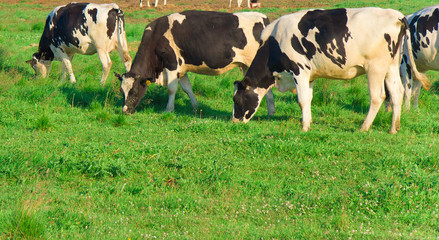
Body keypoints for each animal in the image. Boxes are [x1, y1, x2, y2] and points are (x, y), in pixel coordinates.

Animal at [115, 10, 276, 116]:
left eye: (134, 91)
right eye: (122, 91)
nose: (125, 111)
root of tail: (263, 17)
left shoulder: (172, 64)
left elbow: (171, 89)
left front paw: (168, 109)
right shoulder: (181, 69)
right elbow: (187, 88)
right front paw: (196, 107)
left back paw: (271, 112)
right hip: (246, 66)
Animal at [232, 7, 432, 134]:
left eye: (236, 99)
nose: (234, 121)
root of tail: (396, 15)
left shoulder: (299, 70)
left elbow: (302, 100)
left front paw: (304, 127)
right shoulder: (310, 75)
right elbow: (309, 98)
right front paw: (309, 121)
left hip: (375, 68)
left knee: (378, 97)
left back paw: (364, 127)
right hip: (391, 67)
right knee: (397, 92)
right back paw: (393, 128)